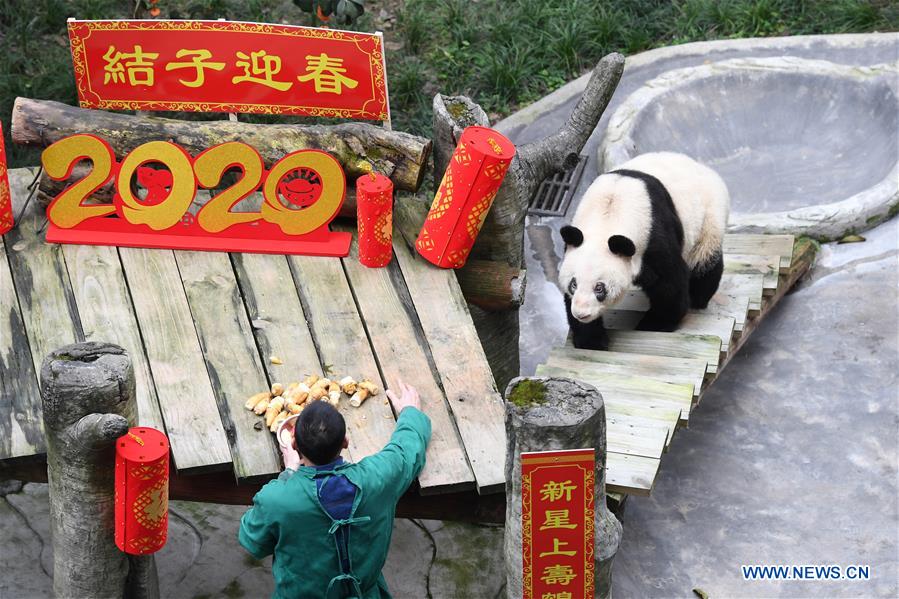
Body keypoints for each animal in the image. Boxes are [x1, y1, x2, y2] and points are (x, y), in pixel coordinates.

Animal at [558, 151, 730, 351]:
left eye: (599, 288)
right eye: (573, 284)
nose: (581, 313)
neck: (608, 215)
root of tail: (703, 168)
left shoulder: (652, 235)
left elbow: (670, 283)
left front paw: (654, 323)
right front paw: (591, 340)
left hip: (708, 216)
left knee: (704, 260)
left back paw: (698, 298)